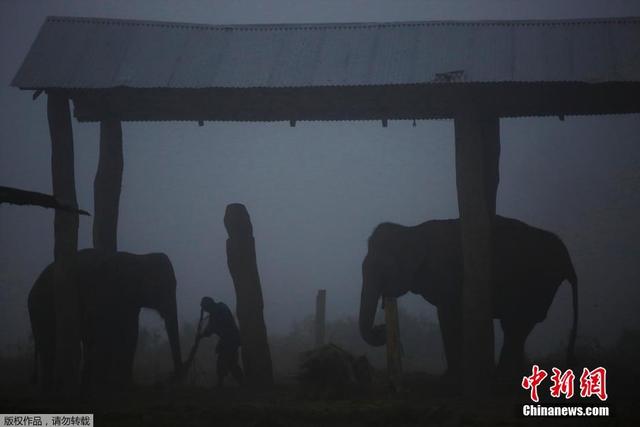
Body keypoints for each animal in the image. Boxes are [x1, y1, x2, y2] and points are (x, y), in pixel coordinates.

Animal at [27, 247, 182, 392]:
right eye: (159, 286)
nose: (170, 376)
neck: (139, 259)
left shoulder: (130, 301)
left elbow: (131, 333)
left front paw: (126, 385)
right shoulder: (106, 292)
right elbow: (106, 332)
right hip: (41, 306)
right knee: (48, 347)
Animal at [360, 217, 580, 378]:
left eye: (384, 267)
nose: (381, 328)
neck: (411, 231)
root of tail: (568, 260)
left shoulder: (448, 276)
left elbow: (449, 318)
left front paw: (450, 379)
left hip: (538, 283)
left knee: (516, 325)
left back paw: (501, 379)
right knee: (517, 327)